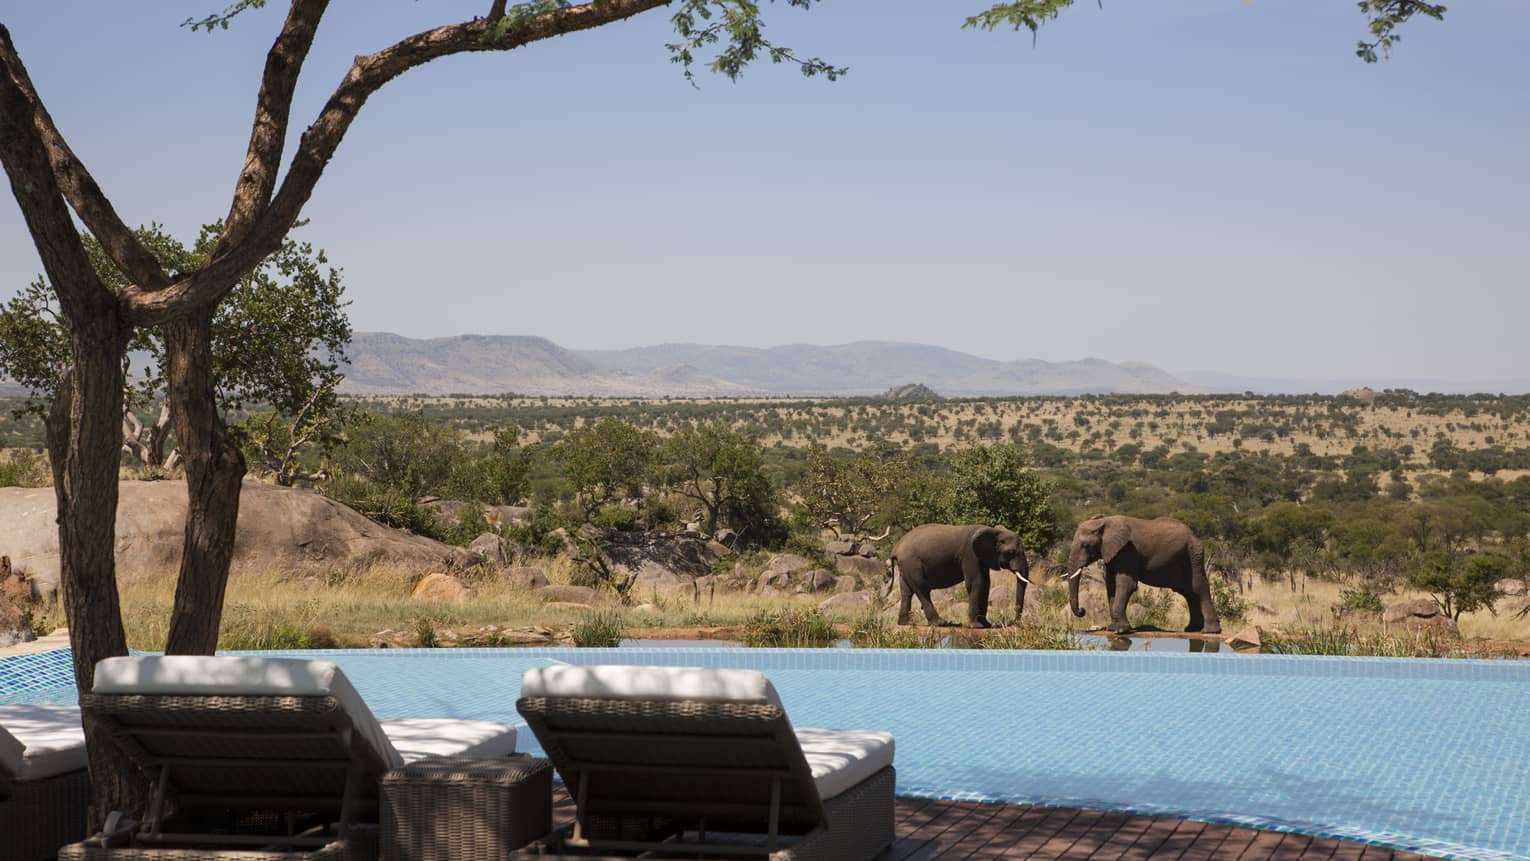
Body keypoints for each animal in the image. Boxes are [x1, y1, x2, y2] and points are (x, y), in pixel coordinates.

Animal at [888, 524, 1031, 628]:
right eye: (1011, 552)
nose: (1013, 623)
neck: (993, 531)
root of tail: (896, 548)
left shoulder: (981, 557)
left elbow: (985, 583)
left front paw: (986, 625)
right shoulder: (970, 554)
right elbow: (977, 582)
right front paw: (977, 626)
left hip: (905, 566)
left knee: (906, 591)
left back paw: (904, 623)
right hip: (912, 563)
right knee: (922, 589)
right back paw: (941, 623)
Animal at [1066, 515, 1220, 635]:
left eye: (1085, 545)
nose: (1082, 610)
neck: (1104, 521)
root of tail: (1194, 535)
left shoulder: (1128, 550)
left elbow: (1126, 584)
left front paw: (1120, 630)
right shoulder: (1112, 553)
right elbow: (1111, 585)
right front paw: (1112, 628)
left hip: (1193, 554)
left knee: (1198, 587)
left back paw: (1209, 631)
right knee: (1188, 592)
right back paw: (1192, 629)